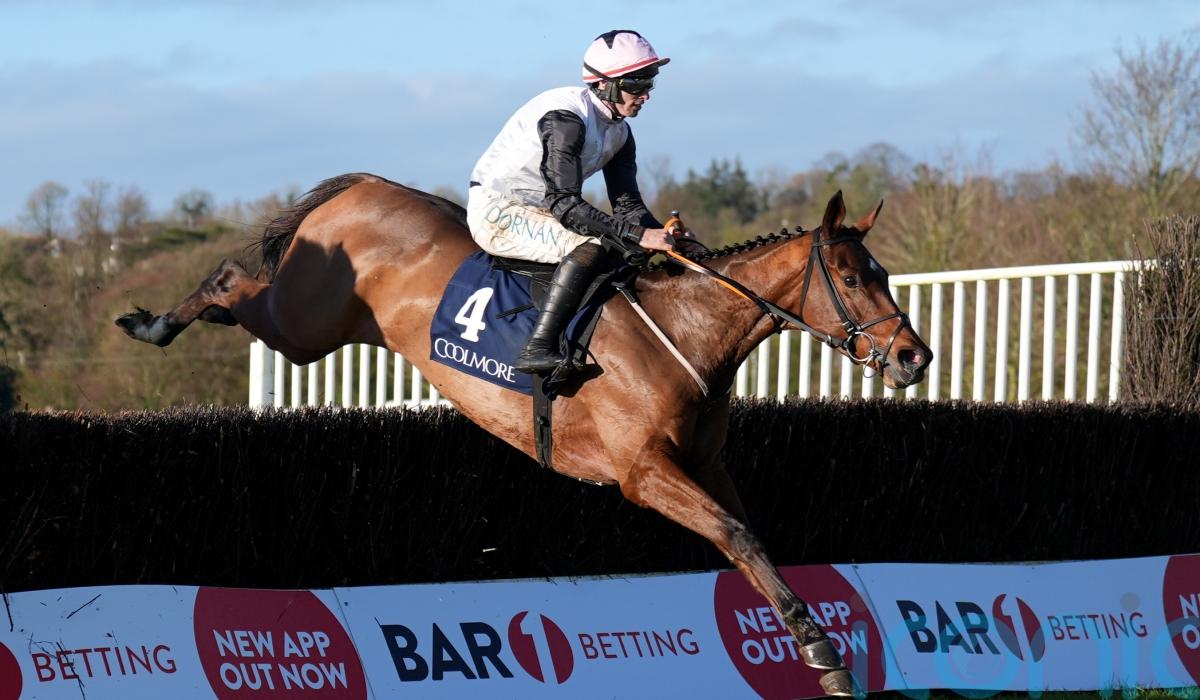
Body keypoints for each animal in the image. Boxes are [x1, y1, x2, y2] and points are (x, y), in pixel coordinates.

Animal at [115, 173, 930, 695]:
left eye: (887, 274)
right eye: (852, 279)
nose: (913, 357)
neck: (684, 332)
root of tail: (362, 187)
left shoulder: (705, 464)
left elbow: (749, 540)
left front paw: (821, 648)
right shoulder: (642, 473)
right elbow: (736, 535)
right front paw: (823, 651)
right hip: (303, 323)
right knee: (228, 282)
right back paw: (150, 322)